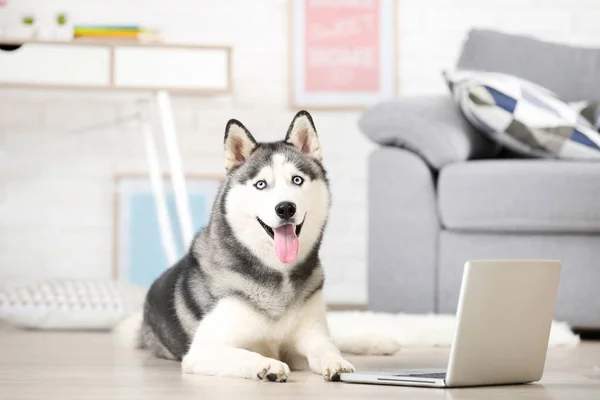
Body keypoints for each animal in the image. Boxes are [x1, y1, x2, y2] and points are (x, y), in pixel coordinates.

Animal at [139, 111, 356, 382]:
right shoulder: (203, 349)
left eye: (297, 180)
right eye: (261, 184)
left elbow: (325, 347)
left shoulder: (312, 335)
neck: (277, 275)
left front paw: (337, 362)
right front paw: (269, 365)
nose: (286, 208)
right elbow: (247, 354)